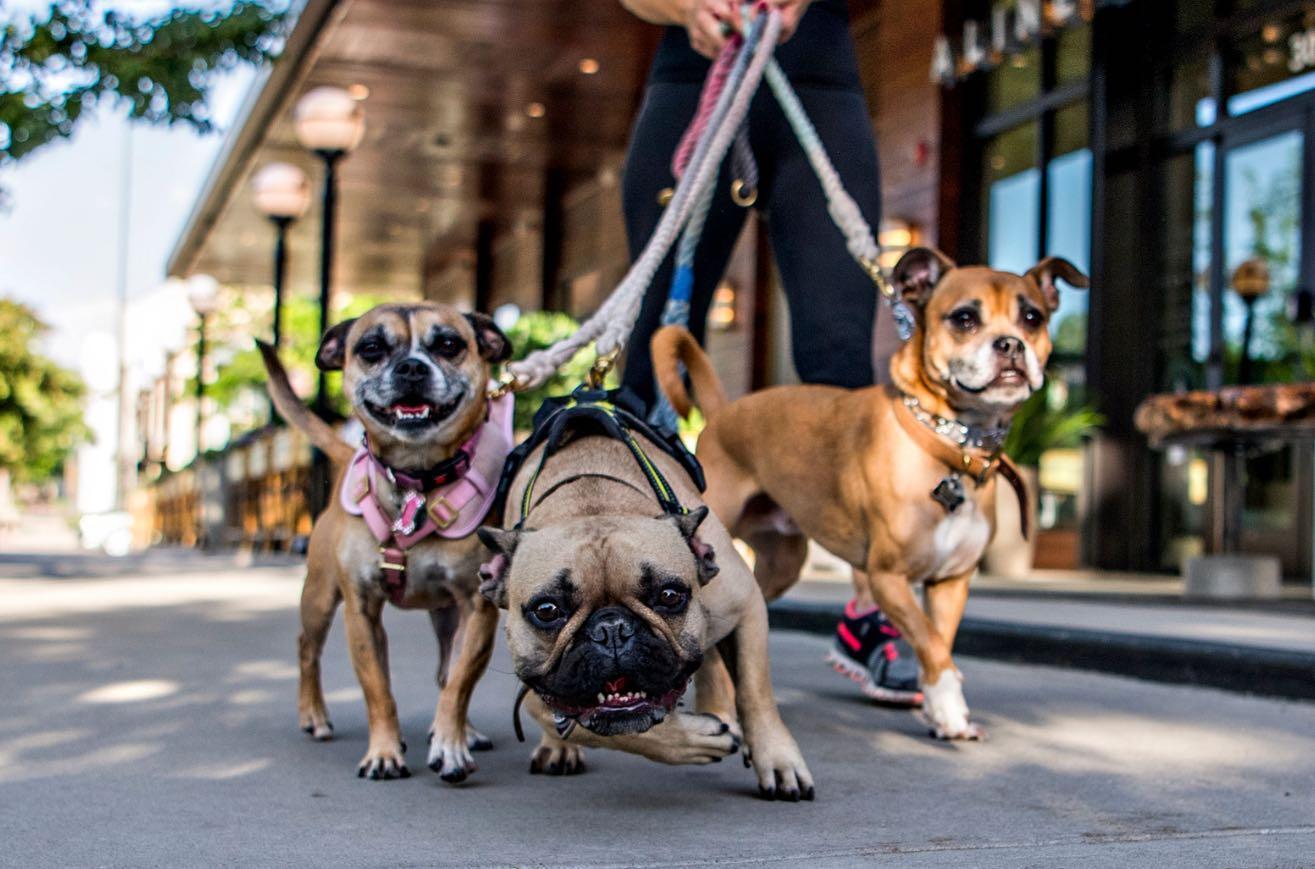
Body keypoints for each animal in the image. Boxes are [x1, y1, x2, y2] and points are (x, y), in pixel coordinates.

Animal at [649, 248, 1088, 741]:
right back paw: (717, 709)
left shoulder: (950, 582)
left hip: (780, 566)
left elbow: (938, 644)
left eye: (1032, 317)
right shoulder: (887, 577)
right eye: (965, 319)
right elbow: (931, 643)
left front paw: (946, 712)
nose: (1011, 345)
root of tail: (725, 415)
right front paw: (946, 703)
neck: (951, 445)